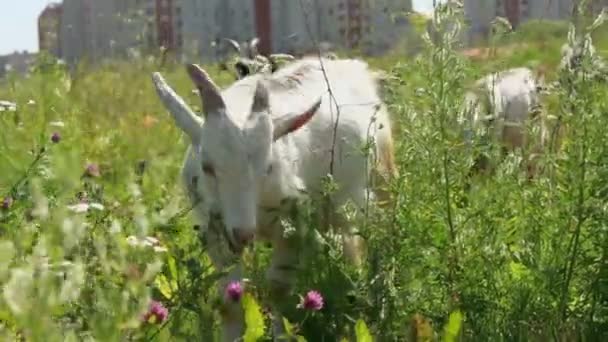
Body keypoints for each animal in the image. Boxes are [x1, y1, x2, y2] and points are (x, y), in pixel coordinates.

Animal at [152, 56, 396, 342]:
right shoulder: (213, 228)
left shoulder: (292, 225)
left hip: (380, 186)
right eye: (207, 167)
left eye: (267, 167)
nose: (243, 234)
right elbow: (229, 300)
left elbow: (278, 290)